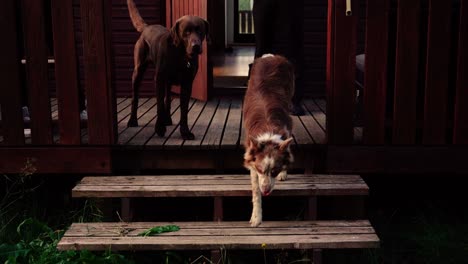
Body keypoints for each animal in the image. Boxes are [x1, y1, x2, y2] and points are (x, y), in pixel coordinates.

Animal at [243, 54, 294, 227]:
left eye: (274, 171)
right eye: (260, 169)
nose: (266, 191)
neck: (269, 133)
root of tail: (271, 56)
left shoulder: (287, 129)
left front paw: (283, 172)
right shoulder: (252, 158)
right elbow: (255, 191)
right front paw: (256, 217)